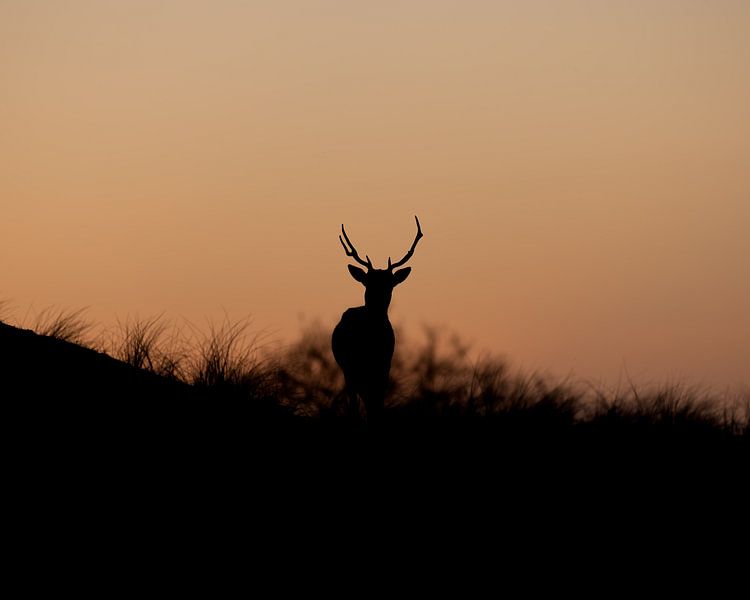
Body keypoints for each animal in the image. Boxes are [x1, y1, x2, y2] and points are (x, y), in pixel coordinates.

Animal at [332, 216, 423, 428]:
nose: (378, 299)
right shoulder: (353, 366)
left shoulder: (385, 365)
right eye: (368, 282)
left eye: (390, 283)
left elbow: (377, 405)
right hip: (349, 370)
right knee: (356, 401)